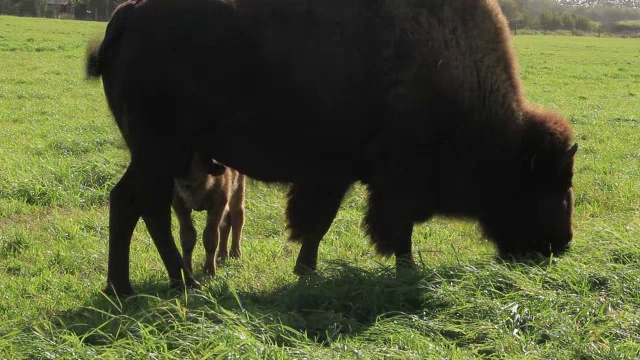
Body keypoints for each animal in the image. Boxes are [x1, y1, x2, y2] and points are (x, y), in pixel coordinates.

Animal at [84, 0, 576, 296]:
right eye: (550, 186)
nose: (561, 244)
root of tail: (126, 16)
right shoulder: (390, 181)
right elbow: (386, 229)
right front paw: (405, 271)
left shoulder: (337, 175)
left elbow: (317, 225)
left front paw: (307, 269)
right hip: (161, 151)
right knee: (145, 205)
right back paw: (180, 282)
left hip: (157, 154)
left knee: (127, 202)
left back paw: (124, 287)